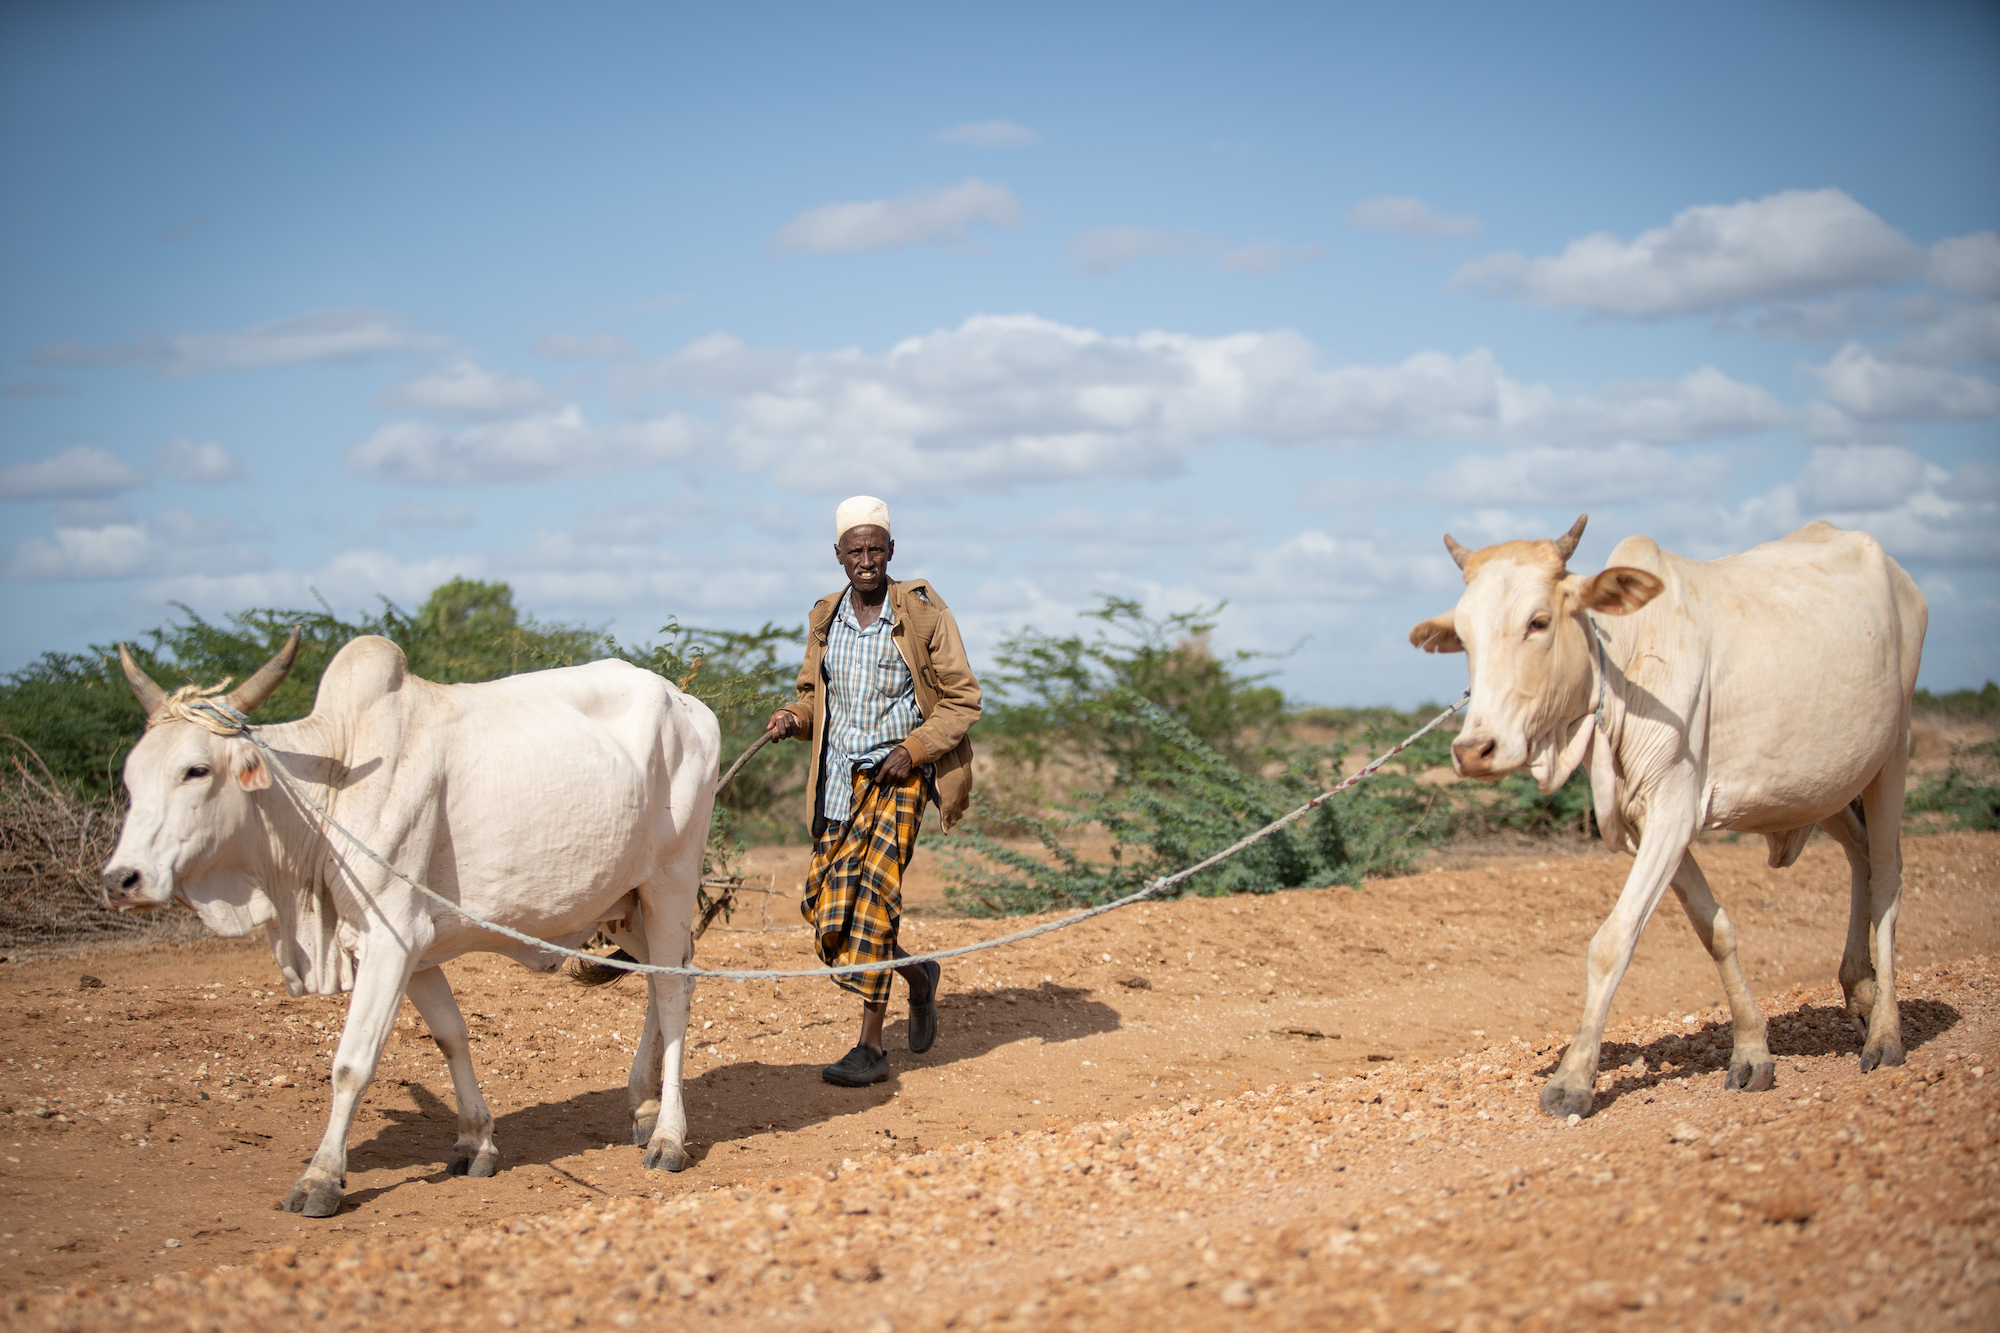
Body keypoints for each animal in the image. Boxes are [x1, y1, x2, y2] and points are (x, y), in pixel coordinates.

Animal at [101, 628, 724, 1208]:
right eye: (132, 777)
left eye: (196, 770)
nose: (121, 879)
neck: (326, 793)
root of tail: (688, 704)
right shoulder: (414, 949)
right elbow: (451, 1034)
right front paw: (475, 1142)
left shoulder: (392, 936)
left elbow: (353, 1063)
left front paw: (320, 1177)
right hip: (625, 903)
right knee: (674, 979)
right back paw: (642, 1108)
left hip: (669, 882)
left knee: (672, 996)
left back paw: (667, 1137)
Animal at [1416, 512, 1928, 1112]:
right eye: (1465, 636)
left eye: (1538, 622)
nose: (1474, 749)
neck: (1625, 666)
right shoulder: (1651, 824)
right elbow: (1716, 929)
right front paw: (1751, 1050)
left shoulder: (1672, 810)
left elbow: (1612, 942)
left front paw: (1572, 1080)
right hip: (1827, 783)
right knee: (1861, 859)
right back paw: (1860, 989)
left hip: (1893, 752)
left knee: (1888, 878)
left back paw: (1886, 1033)